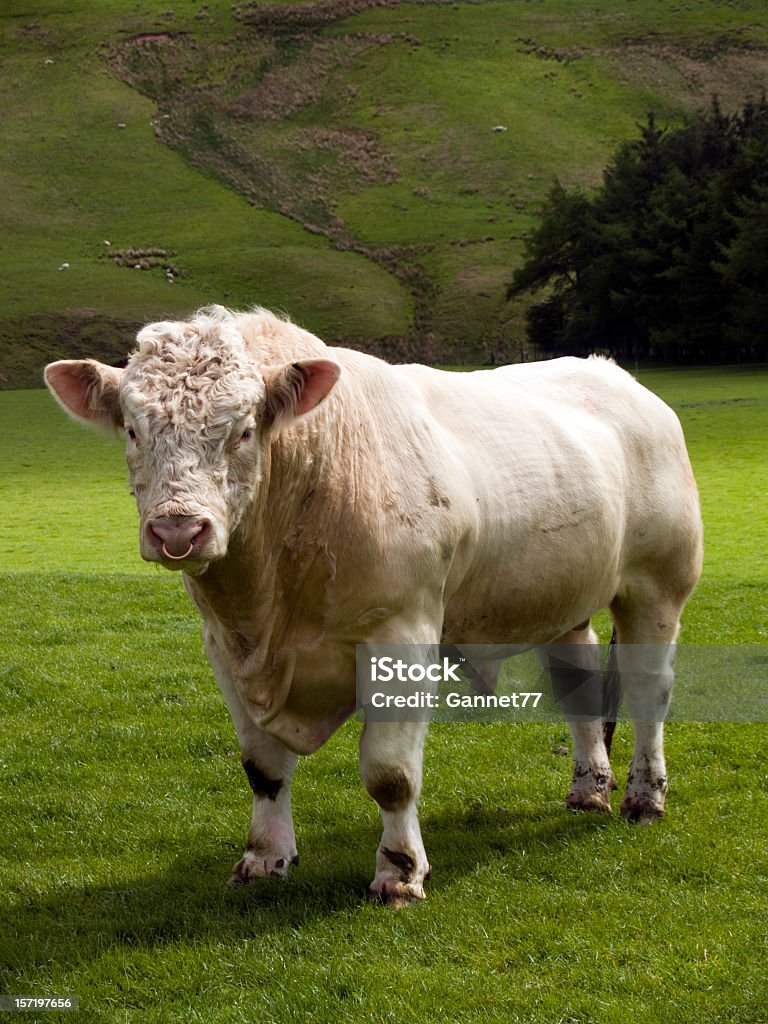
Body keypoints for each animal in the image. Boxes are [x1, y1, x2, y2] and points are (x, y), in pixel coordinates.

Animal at [43, 303, 704, 905]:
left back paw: (645, 797)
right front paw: (263, 858)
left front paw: (400, 871)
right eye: (133, 430)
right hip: (561, 595)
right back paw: (590, 788)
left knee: (648, 691)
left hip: (657, 585)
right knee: (579, 687)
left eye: (244, 430)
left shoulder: (402, 633)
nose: (178, 529)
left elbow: (390, 773)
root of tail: (614, 375)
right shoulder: (225, 647)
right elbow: (263, 765)